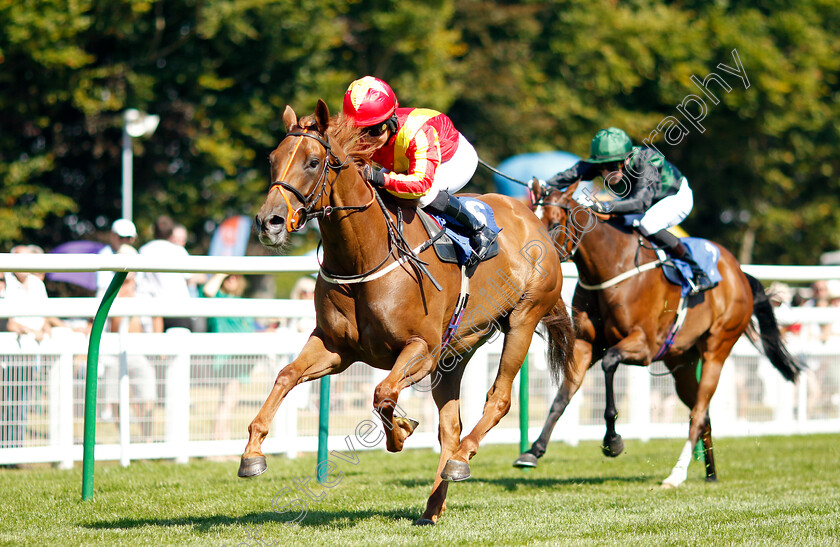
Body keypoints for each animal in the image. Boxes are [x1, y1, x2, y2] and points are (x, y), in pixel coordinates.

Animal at [240, 100, 576, 524]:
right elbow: (286, 375)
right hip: (456, 350)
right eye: (272, 159)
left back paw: (461, 461)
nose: (269, 222)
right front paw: (252, 455)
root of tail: (535, 218)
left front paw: (400, 431)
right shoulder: (335, 348)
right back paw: (433, 504)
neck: (364, 256)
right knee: (450, 426)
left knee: (497, 400)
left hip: (522, 320)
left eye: (313, 161)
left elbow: (382, 392)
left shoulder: (421, 349)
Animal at [516, 181, 804, 488]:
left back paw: (676, 475)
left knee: (698, 413)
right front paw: (533, 451)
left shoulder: (643, 346)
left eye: (553, 223)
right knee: (702, 414)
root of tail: (739, 273)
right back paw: (710, 474)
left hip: (717, 348)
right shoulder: (585, 345)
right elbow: (562, 397)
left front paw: (613, 442)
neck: (612, 267)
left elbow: (610, 364)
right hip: (682, 363)